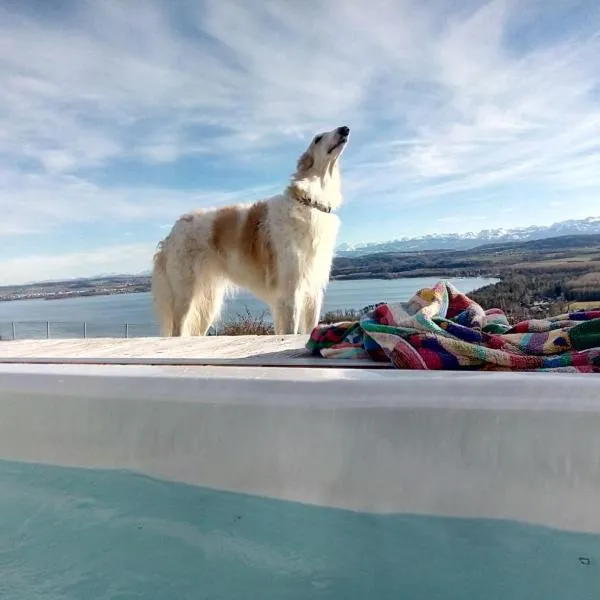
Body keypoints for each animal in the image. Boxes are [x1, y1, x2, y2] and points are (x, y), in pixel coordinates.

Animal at [151, 124, 352, 336]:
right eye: (317, 138)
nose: (344, 129)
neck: (309, 202)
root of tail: (172, 232)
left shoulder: (313, 291)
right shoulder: (291, 291)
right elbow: (290, 331)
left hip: (207, 301)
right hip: (185, 294)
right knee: (177, 331)